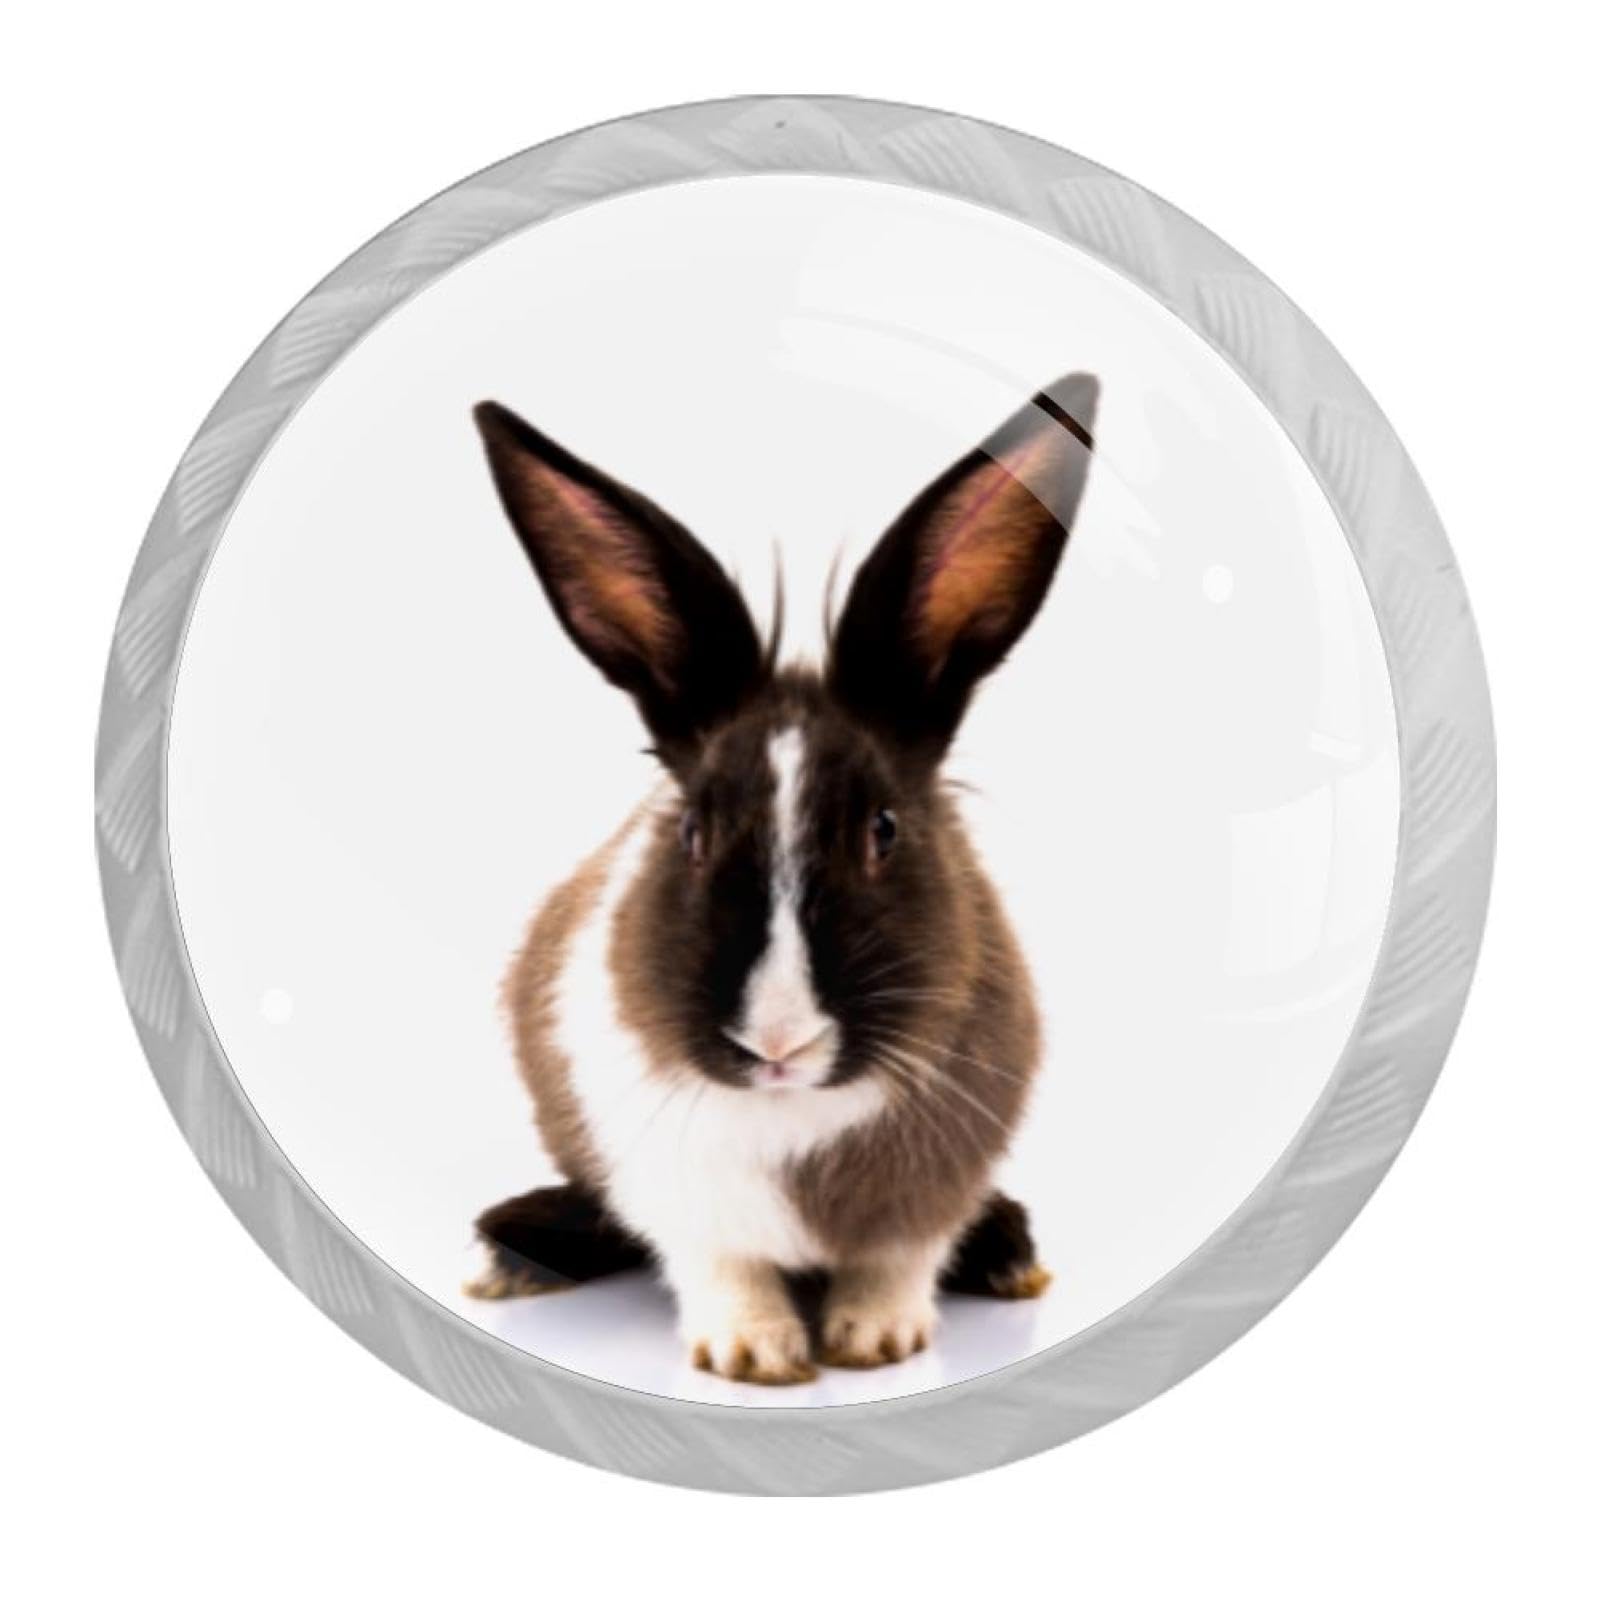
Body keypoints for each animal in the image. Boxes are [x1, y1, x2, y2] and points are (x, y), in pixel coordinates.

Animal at [464, 372, 1099, 1384]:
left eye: (884, 829)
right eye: (690, 830)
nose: (776, 1039)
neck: (791, 1109)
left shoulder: (936, 1181)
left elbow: (898, 1257)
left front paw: (878, 1338)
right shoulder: (671, 1185)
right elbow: (718, 1263)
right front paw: (752, 1353)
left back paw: (1007, 1255)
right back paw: (512, 1252)